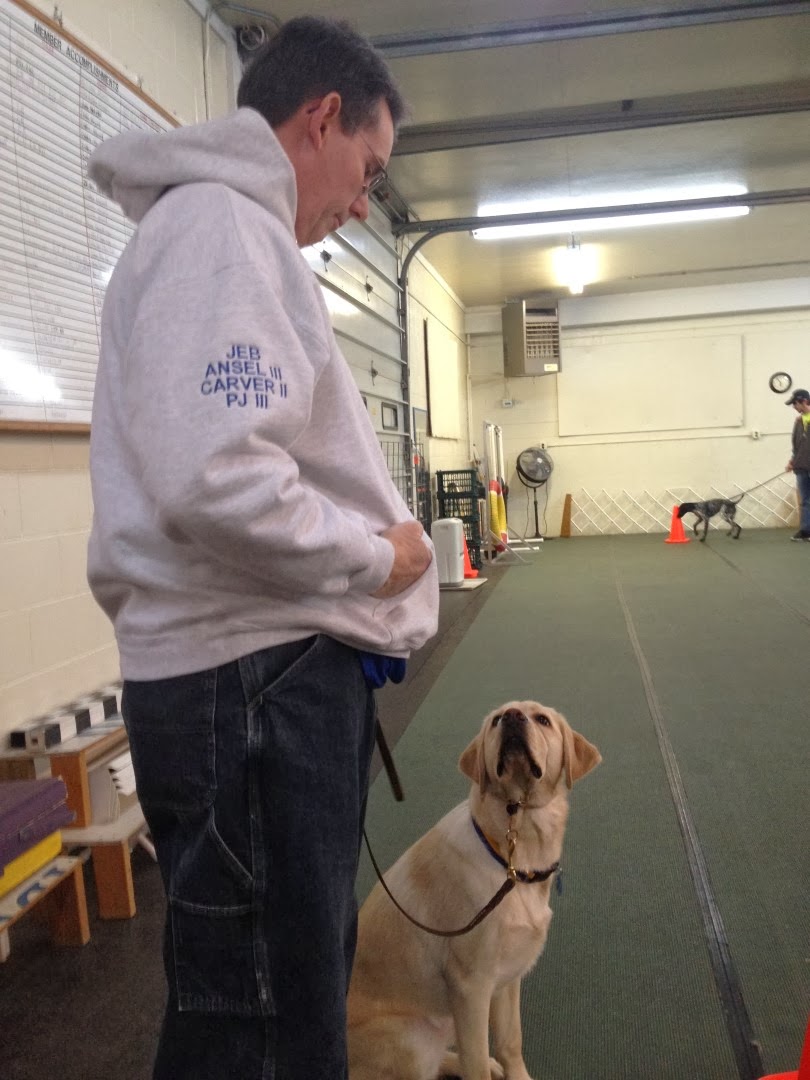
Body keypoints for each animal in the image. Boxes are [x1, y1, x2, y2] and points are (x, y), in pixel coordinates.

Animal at [347, 700, 601, 1080]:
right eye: (497, 720)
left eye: (542, 720)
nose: (512, 717)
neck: (514, 858)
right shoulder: (471, 987)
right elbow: (476, 1064)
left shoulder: (508, 978)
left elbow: (511, 1042)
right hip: (413, 1036)